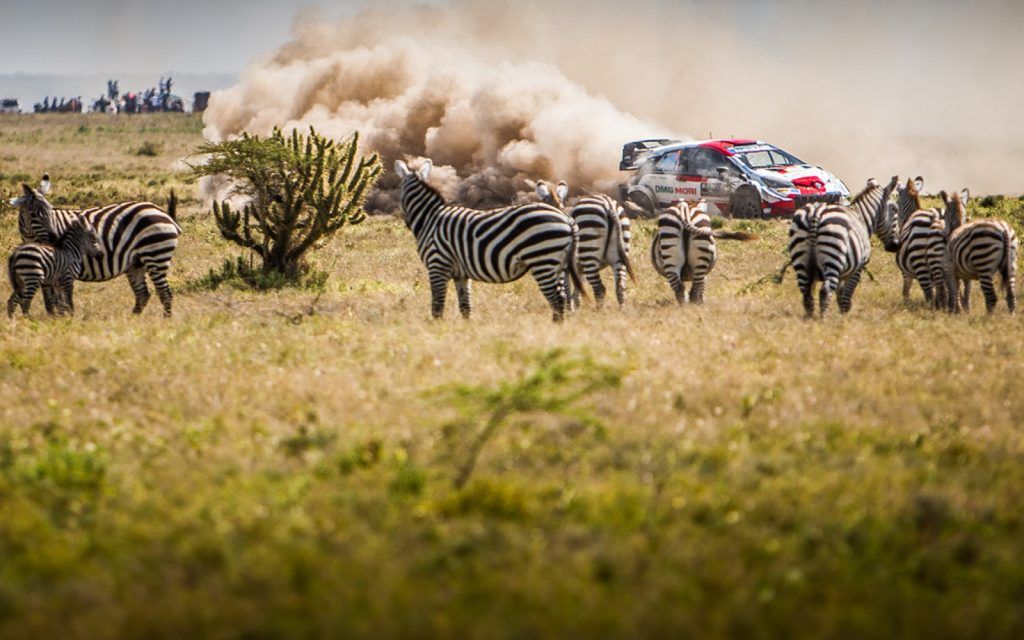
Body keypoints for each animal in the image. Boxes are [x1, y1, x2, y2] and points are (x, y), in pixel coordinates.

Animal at [9, 177, 181, 316]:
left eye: (51, 211)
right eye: (33, 215)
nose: (56, 239)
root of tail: (162, 212)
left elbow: (54, 298)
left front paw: (56, 318)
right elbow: (51, 297)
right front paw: (54, 317)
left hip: (155, 253)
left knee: (165, 292)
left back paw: (166, 321)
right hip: (136, 263)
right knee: (143, 294)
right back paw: (132, 320)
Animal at [395, 160, 584, 322]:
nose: (404, 222)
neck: (430, 216)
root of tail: (567, 219)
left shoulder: (437, 265)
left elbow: (437, 307)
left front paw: (439, 330)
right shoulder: (461, 274)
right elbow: (465, 307)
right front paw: (466, 332)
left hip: (542, 259)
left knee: (557, 300)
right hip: (558, 264)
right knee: (564, 298)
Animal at [531, 180, 636, 308]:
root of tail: (608, 204)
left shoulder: (563, 265)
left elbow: (566, 291)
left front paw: (569, 310)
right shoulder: (577, 269)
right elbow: (577, 293)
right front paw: (577, 309)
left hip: (589, 251)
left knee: (600, 289)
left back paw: (599, 311)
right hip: (619, 252)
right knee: (620, 287)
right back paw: (621, 311)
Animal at [788, 178, 899, 317]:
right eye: (894, 209)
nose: (895, 245)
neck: (862, 219)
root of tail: (816, 212)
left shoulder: (842, 272)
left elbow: (840, 294)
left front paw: (842, 314)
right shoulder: (858, 267)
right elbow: (846, 295)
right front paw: (844, 316)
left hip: (801, 259)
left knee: (806, 292)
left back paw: (810, 320)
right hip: (833, 256)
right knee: (825, 291)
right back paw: (823, 319)